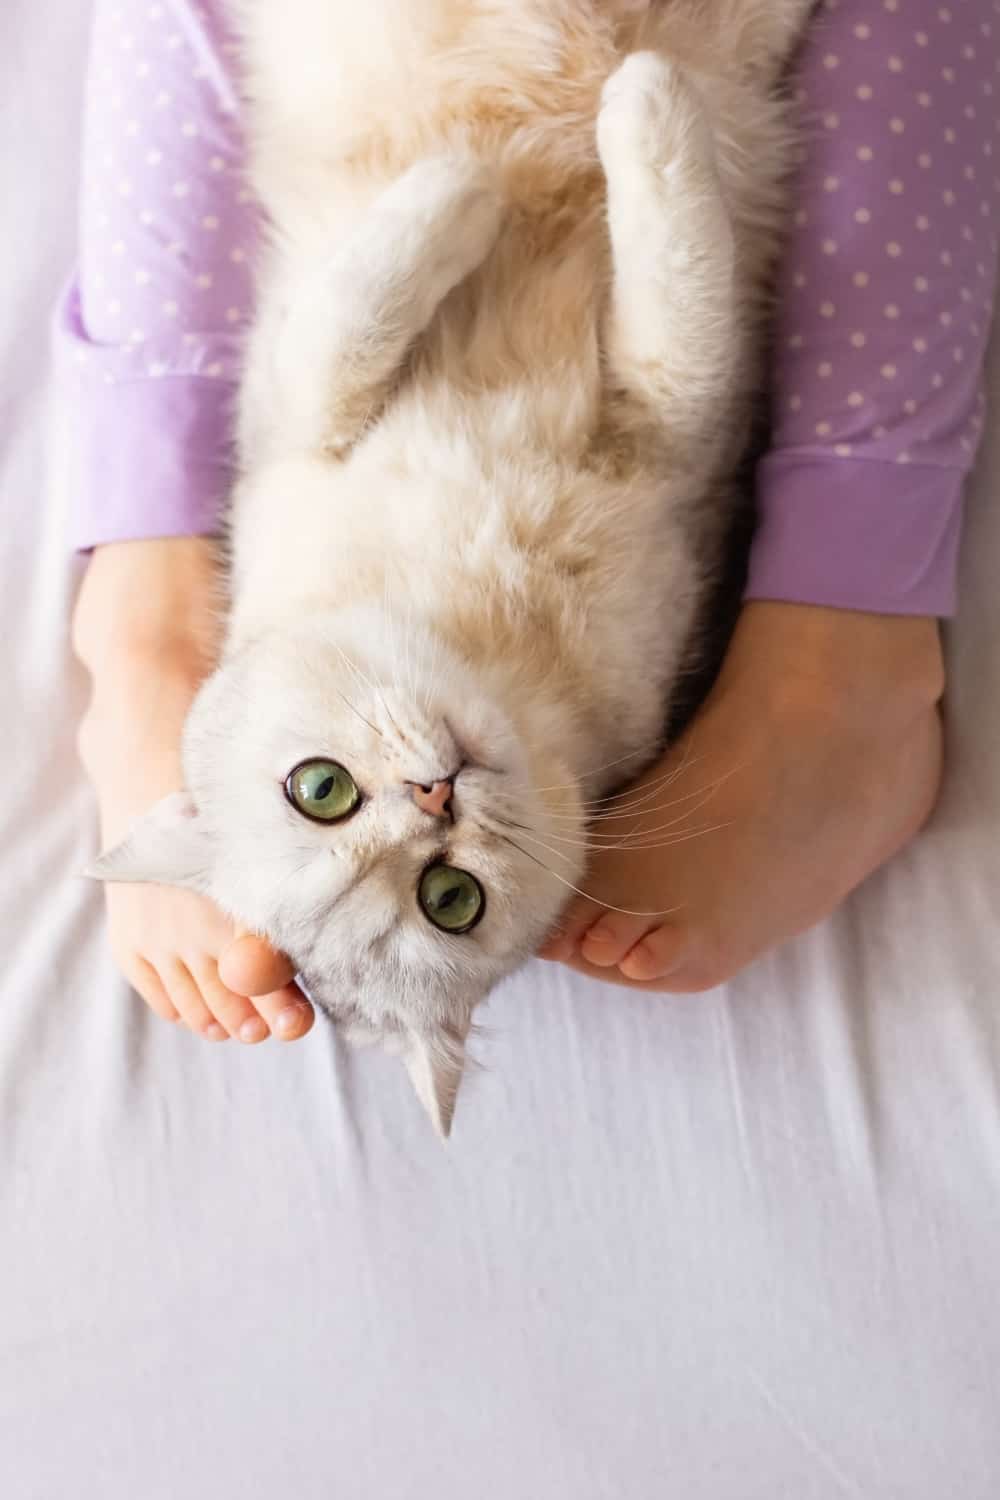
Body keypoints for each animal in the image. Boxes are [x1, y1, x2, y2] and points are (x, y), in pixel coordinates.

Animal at [89, 0, 815, 1128]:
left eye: (319, 788)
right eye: (450, 901)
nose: (436, 795)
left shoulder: (290, 412)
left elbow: (354, 316)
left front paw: (496, 166)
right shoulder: (677, 419)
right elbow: (680, 274)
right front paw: (606, 119)